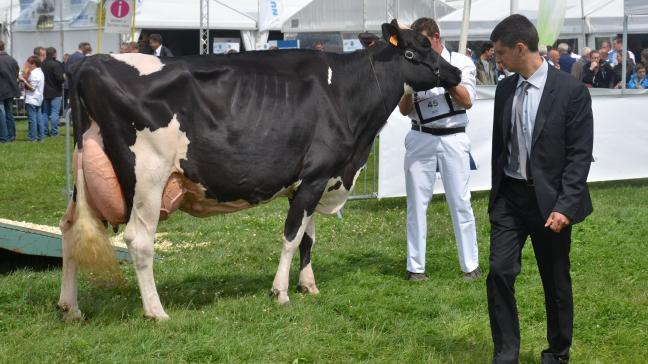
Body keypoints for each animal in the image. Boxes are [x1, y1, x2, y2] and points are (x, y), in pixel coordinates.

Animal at [57, 21, 460, 320]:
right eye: (413, 51)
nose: (455, 72)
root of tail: (88, 63)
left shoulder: (311, 181)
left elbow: (308, 237)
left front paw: (308, 285)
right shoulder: (316, 175)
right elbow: (292, 236)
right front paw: (280, 292)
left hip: (85, 178)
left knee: (70, 229)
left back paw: (70, 307)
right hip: (148, 178)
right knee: (139, 240)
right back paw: (156, 312)